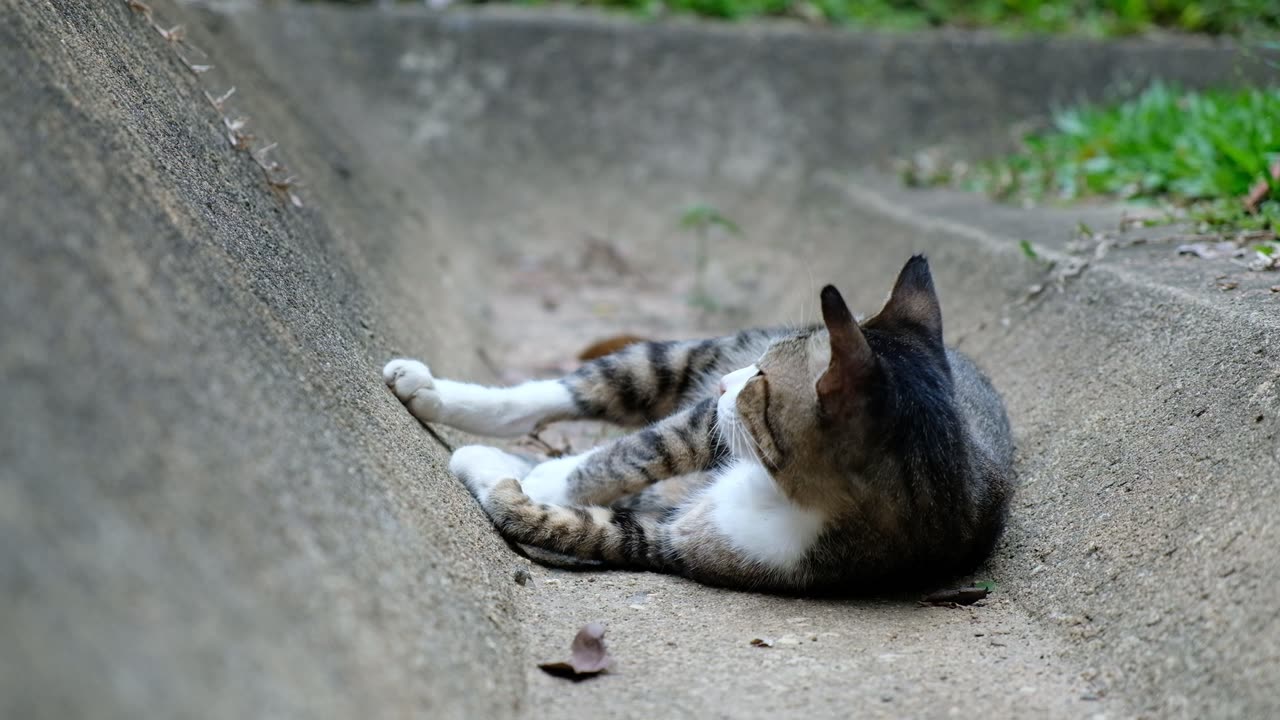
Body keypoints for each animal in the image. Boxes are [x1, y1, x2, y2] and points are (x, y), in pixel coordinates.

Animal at [378, 254, 1008, 591]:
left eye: (761, 379)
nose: (730, 381)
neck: (786, 492)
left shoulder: (677, 542)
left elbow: (569, 523)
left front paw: (518, 482)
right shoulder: (703, 425)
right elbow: (639, 450)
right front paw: (544, 475)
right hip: (688, 366)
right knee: (584, 390)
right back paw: (432, 391)